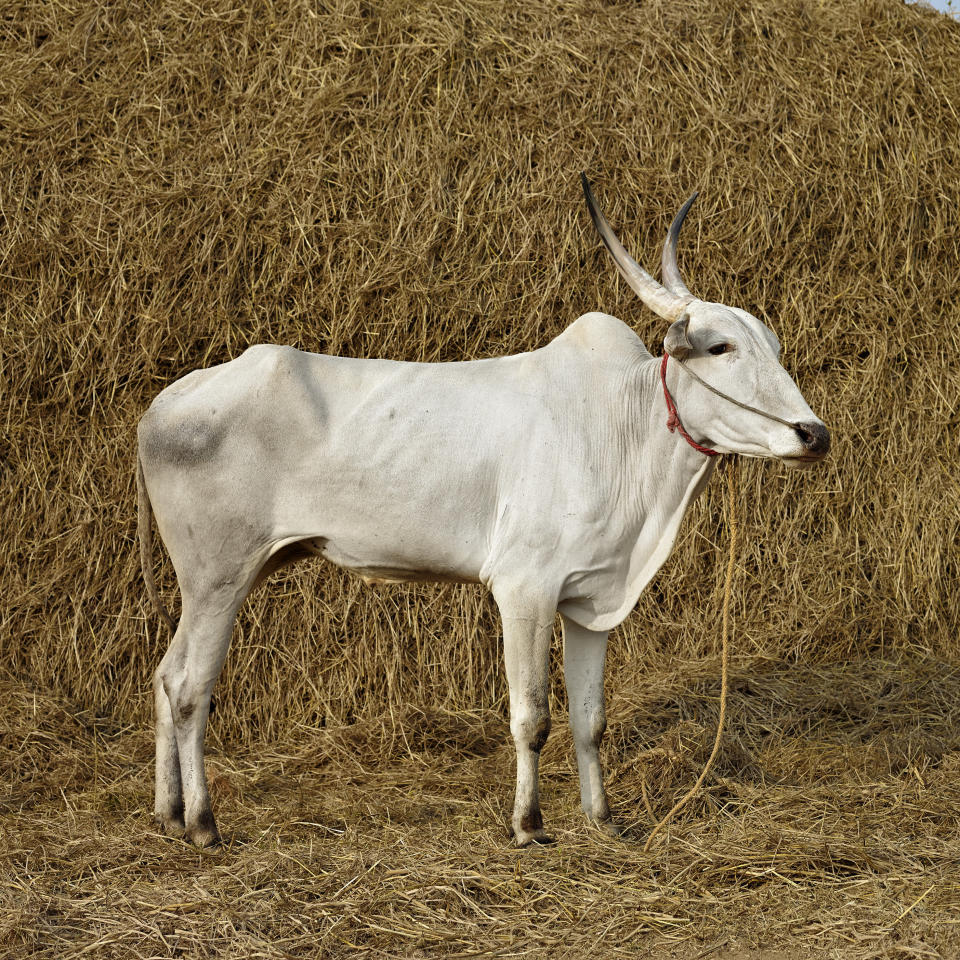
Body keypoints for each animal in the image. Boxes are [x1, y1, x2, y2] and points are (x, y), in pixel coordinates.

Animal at [139, 178, 828, 848]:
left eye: (771, 345)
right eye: (719, 346)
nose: (813, 434)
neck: (619, 425)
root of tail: (165, 403)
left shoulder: (591, 599)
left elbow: (590, 720)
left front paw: (602, 819)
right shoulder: (525, 588)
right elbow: (532, 717)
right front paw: (529, 824)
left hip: (230, 574)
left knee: (165, 676)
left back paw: (169, 813)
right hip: (218, 575)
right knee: (189, 688)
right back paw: (202, 823)